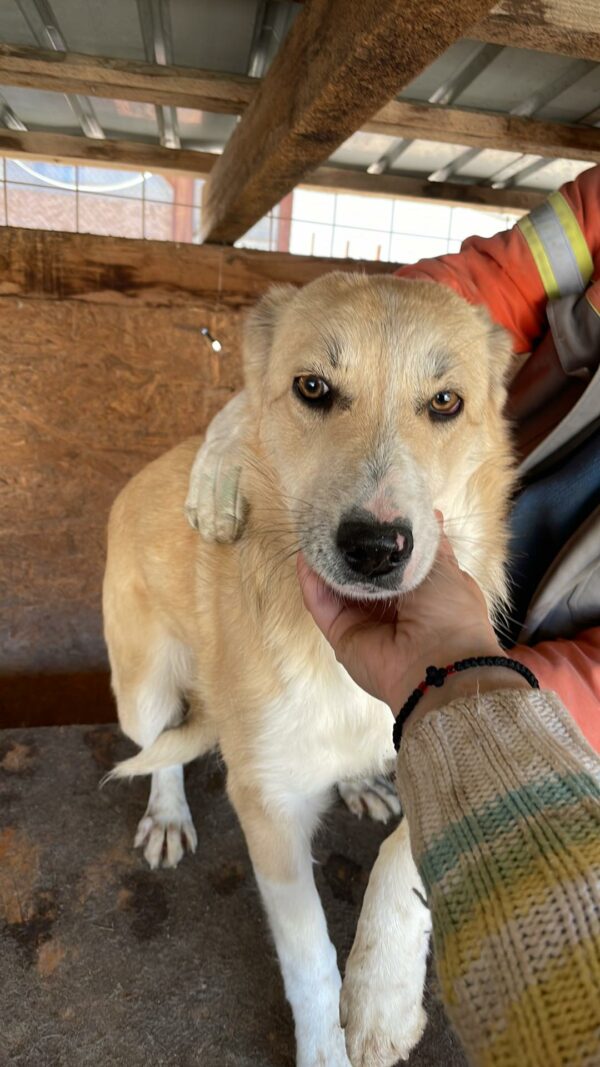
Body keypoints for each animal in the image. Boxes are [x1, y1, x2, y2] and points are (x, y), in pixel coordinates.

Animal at [104, 277, 514, 1067]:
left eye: (445, 402)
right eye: (314, 388)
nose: (376, 548)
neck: (337, 671)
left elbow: (403, 851)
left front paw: (383, 987)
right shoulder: (269, 806)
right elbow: (309, 959)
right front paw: (328, 1044)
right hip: (138, 688)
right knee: (158, 746)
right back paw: (167, 813)